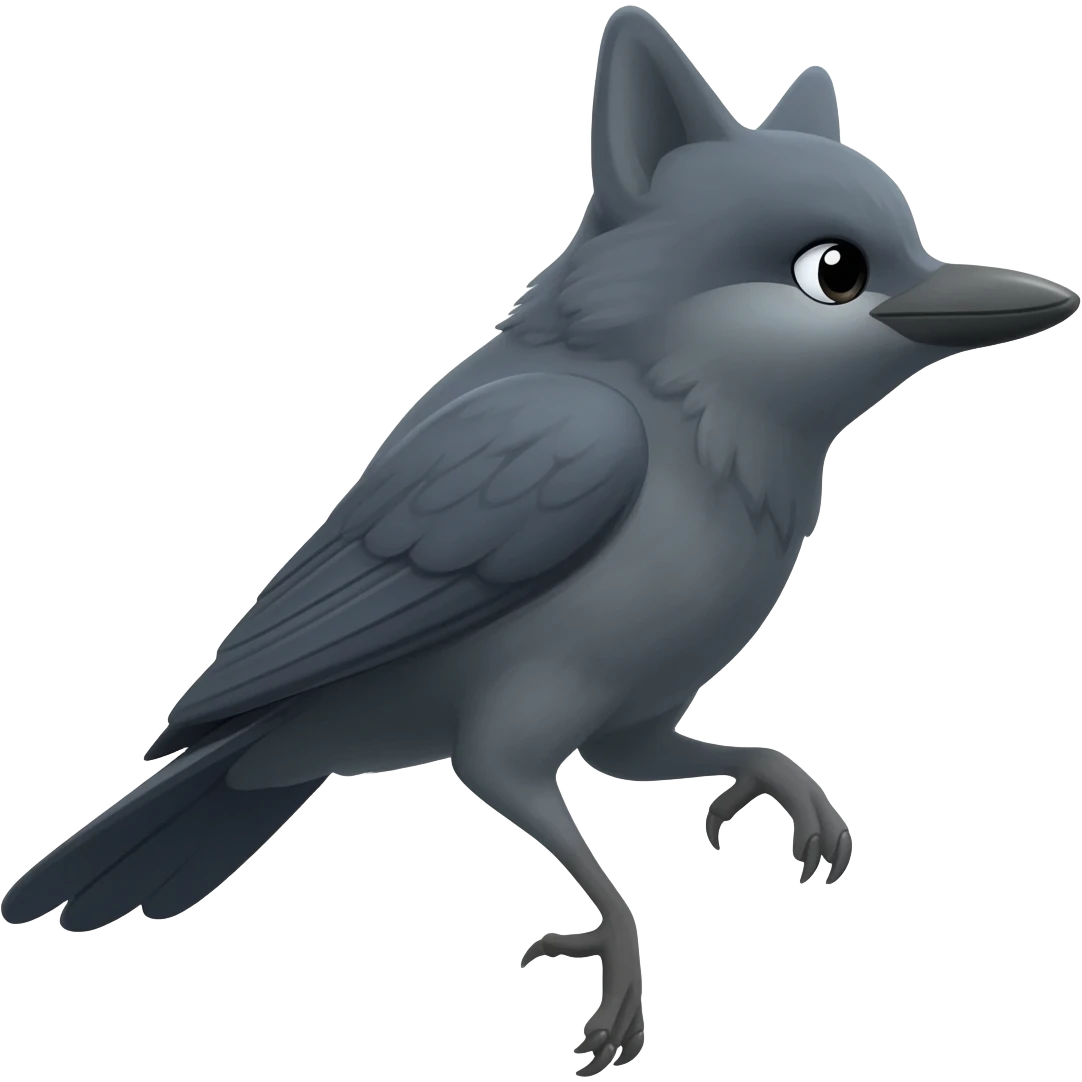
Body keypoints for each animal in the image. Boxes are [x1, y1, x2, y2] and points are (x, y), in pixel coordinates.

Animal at [3, 6, 1077, 1076]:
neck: (689, 410)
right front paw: (619, 947)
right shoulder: (521, 711)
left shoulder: (641, 708)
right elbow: (552, 818)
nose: (1030, 298)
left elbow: (658, 759)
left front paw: (775, 774)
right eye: (836, 271)